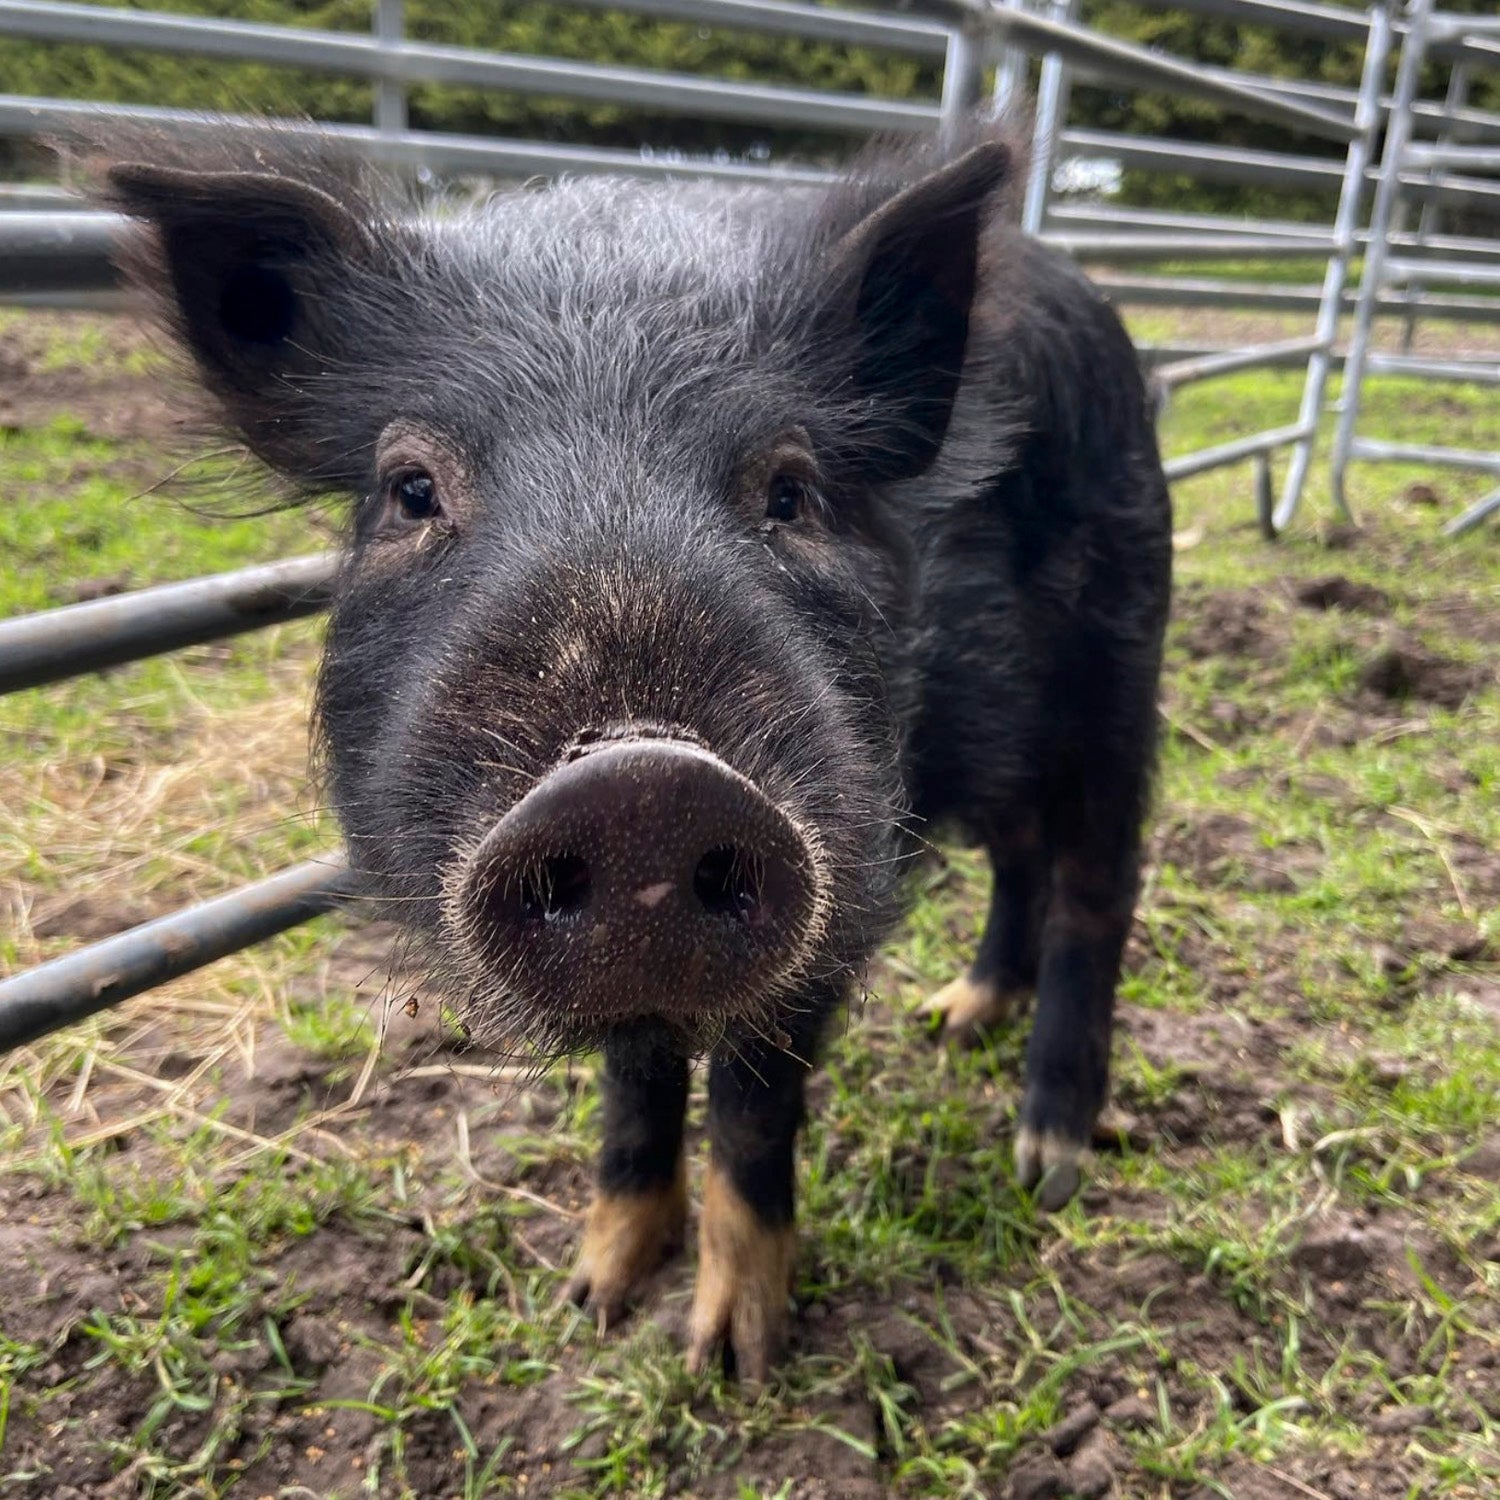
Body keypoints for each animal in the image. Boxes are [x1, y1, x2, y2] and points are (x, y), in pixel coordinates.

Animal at [97, 118, 1171, 1383]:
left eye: (792, 490)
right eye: (411, 488)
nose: (639, 783)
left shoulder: (844, 866)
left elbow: (752, 1107)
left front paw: (731, 1358)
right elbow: (634, 1075)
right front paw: (591, 1299)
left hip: (1123, 661)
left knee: (1099, 885)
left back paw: (1046, 1162)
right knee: (1018, 855)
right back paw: (955, 1017)